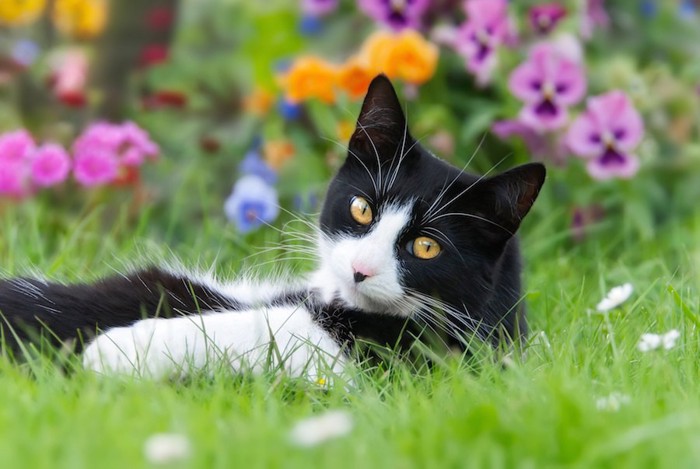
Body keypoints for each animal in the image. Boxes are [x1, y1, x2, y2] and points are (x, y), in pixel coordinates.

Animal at [0, 74, 548, 380]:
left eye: (427, 248)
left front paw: (119, 349)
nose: (361, 270)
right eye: (362, 209)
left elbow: (264, 332)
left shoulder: (409, 359)